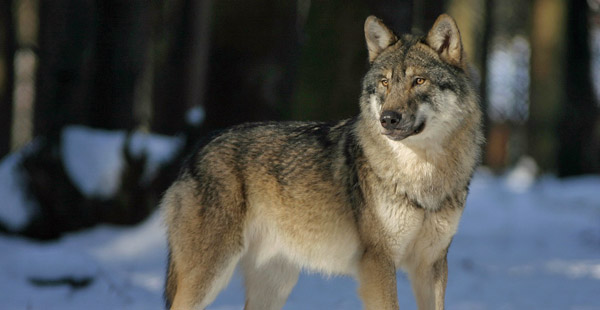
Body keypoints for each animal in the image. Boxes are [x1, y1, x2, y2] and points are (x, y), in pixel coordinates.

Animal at [162, 13, 486, 308]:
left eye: (419, 81)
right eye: (384, 82)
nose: (388, 119)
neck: (423, 174)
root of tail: (197, 148)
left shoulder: (432, 265)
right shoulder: (378, 263)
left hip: (274, 284)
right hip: (208, 276)